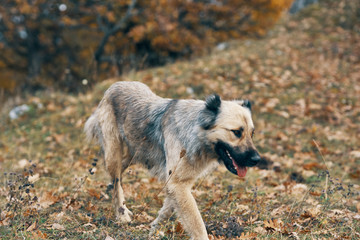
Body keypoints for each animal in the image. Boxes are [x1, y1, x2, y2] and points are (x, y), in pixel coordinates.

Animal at [84, 81, 258, 239]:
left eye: (252, 133)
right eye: (236, 132)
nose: (256, 159)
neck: (195, 130)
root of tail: (114, 85)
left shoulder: (177, 183)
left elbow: (168, 209)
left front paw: (154, 229)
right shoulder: (177, 184)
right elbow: (196, 222)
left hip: (136, 153)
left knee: (118, 176)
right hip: (114, 153)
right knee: (116, 181)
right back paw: (121, 213)